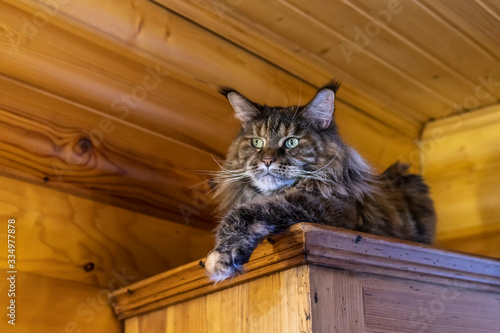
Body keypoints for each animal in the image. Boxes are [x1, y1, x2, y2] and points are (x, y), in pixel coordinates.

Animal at [205, 80, 436, 280]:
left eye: (291, 142)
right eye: (256, 142)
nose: (267, 160)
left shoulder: (321, 207)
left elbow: (249, 210)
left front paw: (220, 257)